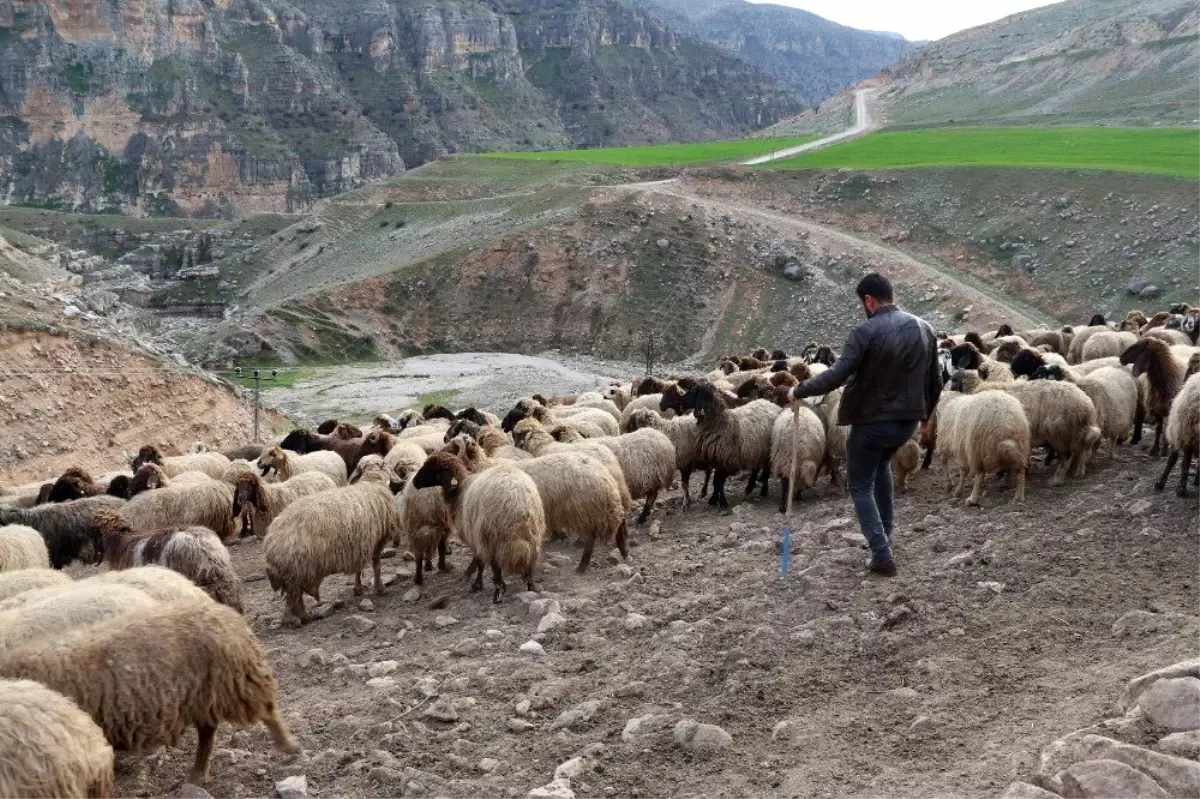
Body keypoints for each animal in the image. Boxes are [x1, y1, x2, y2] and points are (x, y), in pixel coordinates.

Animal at [0, 597, 298, 777]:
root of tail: (225, 613)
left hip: (238, 682)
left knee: (269, 710)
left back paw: (289, 746)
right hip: (204, 695)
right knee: (208, 732)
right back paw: (198, 775)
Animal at [264, 479, 403, 623]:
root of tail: (271, 542)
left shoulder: (358, 547)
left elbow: (359, 569)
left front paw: (358, 588)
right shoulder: (378, 541)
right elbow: (377, 566)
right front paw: (380, 589)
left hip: (292, 572)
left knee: (291, 597)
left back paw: (296, 618)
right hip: (296, 570)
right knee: (294, 597)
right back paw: (300, 618)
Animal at [412, 451, 544, 599]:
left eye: (430, 468)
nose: (414, 482)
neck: (459, 490)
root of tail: (517, 500)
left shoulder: (476, 535)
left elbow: (480, 561)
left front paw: (476, 583)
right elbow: (479, 560)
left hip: (490, 533)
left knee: (495, 564)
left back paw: (498, 590)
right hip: (532, 534)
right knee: (531, 561)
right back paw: (530, 584)